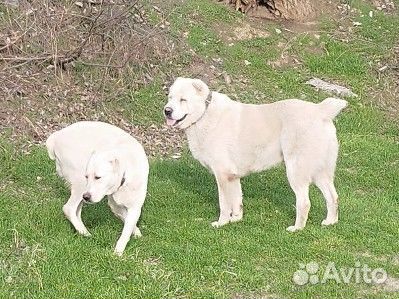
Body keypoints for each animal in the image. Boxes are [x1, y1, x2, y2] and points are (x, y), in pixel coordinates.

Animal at [45, 121, 148, 255]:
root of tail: (56, 137)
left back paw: (82, 231)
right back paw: (85, 233)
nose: (86, 197)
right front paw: (118, 253)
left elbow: (128, 224)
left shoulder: (133, 207)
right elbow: (126, 228)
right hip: (80, 184)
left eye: (98, 177)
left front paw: (135, 233)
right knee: (68, 208)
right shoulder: (116, 205)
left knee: (77, 211)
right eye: (87, 176)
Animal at [165, 77, 346, 232]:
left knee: (304, 202)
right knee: (333, 196)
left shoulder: (222, 175)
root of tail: (320, 110)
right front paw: (236, 219)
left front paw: (222, 223)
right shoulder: (232, 176)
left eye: (183, 99)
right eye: (170, 97)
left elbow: (224, 203)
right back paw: (330, 222)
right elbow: (237, 200)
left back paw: (297, 228)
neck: (204, 114)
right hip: (321, 172)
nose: (167, 111)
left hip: (296, 170)